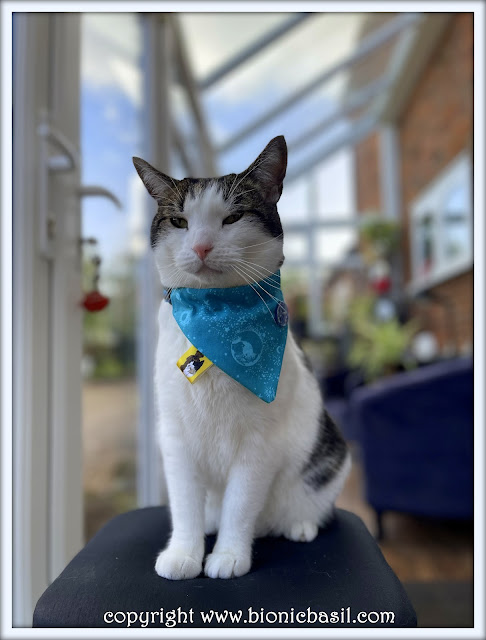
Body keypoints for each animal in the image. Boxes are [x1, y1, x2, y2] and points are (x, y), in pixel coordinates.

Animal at [134, 135, 350, 580]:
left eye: (233, 217)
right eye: (179, 222)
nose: (201, 246)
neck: (217, 316)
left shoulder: (259, 443)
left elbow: (240, 503)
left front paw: (230, 555)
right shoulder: (174, 436)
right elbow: (184, 504)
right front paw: (184, 553)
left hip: (331, 455)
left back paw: (298, 525)